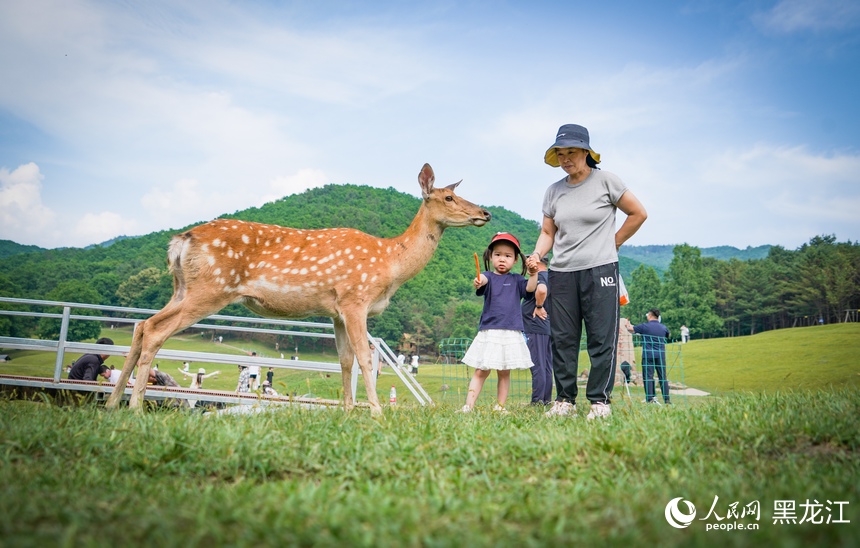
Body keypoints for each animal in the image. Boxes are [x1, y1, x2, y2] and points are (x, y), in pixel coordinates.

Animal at [105, 164, 491, 415]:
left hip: (182, 288)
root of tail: (179, 242)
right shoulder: (355, 297)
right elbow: (365, 357)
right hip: (210, 289)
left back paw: (112, 403)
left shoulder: (336, 310)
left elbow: (344, 359)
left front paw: (348, 411)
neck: (390, 263)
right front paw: (377, 413)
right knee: (156, 329)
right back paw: (134, 407)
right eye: (448, 197)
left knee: (142, 325)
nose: (485, 212)